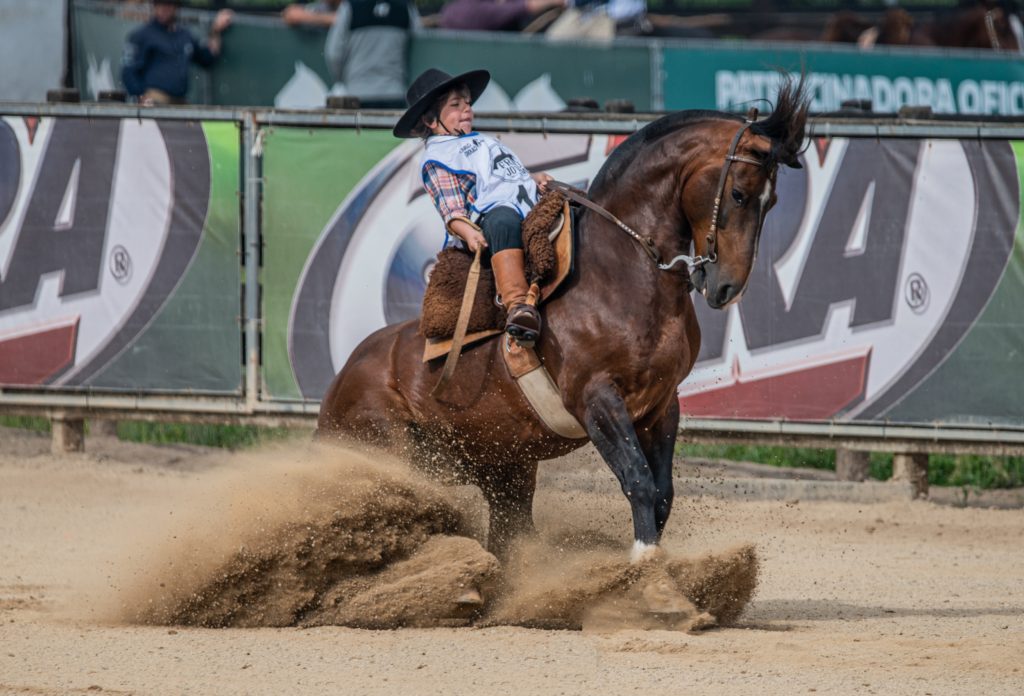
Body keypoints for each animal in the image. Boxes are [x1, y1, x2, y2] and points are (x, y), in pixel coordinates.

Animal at [315, 80, 811, 560]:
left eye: (771, 201)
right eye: (739, 194)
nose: (728, 286)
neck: (621, 274)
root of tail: (336, 387)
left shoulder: (661, 404)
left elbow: (663, 492)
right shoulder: (596, 400)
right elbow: (639, 482)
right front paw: (643, 567)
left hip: (505, 470)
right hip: (395, 456)